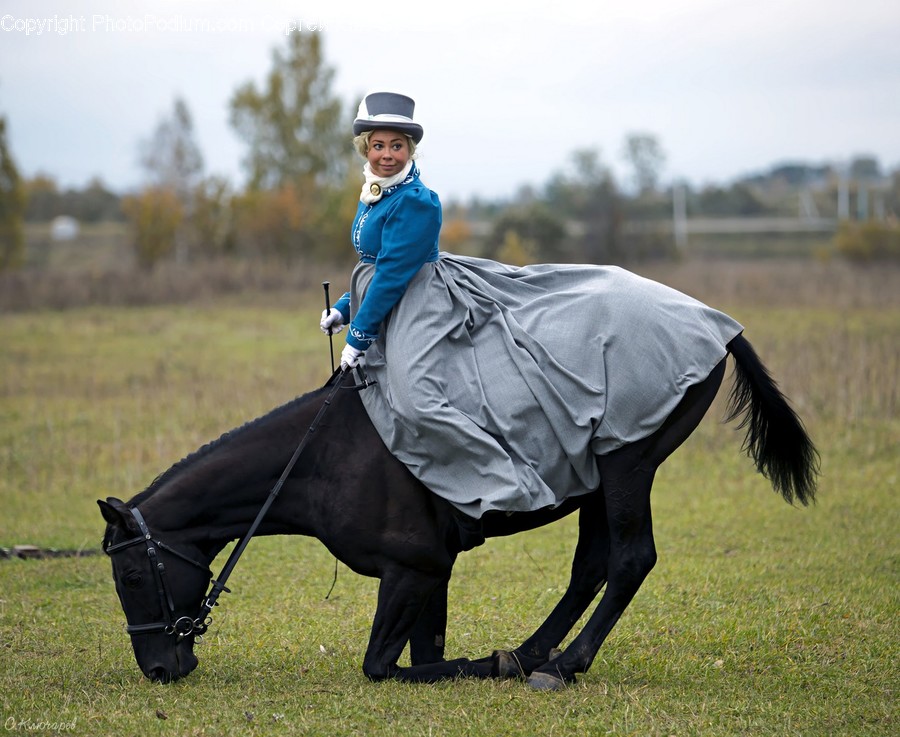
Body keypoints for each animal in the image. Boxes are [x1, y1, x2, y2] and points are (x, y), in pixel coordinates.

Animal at [99, 332, 818, 691]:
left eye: (131, 576)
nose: (159, 670)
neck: (323, 456)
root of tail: (714, 327)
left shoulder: (412, 569)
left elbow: (384, 666)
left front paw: (493, 664)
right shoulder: (430, 573)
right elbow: (424, 654)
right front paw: (500, 660)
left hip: (626, 468)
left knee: (631, 560)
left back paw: (561, 665)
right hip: (597, 485)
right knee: (592, 566)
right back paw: (534, 651)